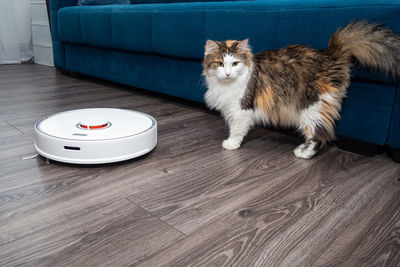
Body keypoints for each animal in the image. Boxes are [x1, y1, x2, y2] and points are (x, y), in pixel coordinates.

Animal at [203, 21, 400, 159]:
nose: (228, 73)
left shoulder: (241, 108)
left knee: (321, 135)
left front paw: (231, 144)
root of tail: (329, 53)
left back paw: (303, 153)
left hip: (312, 107)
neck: (226, 85)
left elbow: (237, 129)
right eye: (220, 64)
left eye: (235, 63)